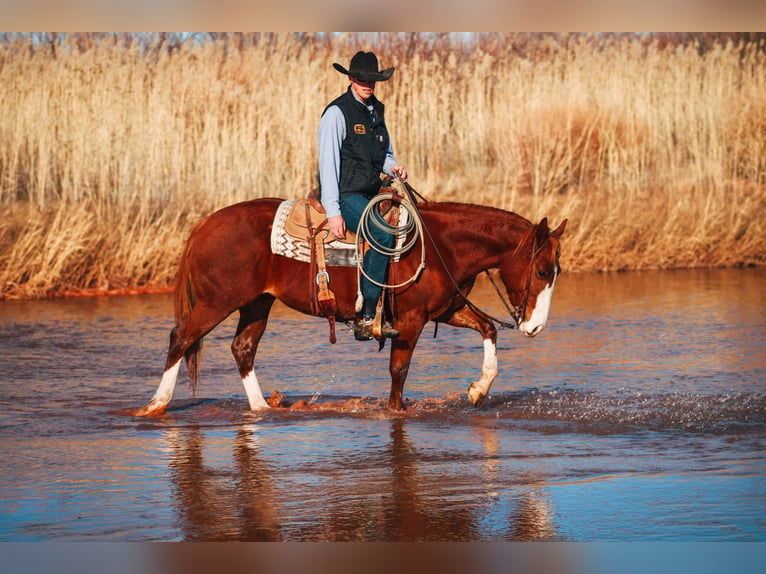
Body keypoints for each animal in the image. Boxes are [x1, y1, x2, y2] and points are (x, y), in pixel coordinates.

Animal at [132, 196, 568, 416]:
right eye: (542, 269)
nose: (535, 328)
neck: (440, 244)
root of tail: (205, 225)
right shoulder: (410, 320)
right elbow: (398, 370)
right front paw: (395, 411)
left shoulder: (443, 310)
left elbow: (488, 329)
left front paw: (479, 389)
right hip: (216, 302)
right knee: (181, 338)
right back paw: (156, 405)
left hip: (257, 304)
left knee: (242, 348)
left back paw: (261, 408)